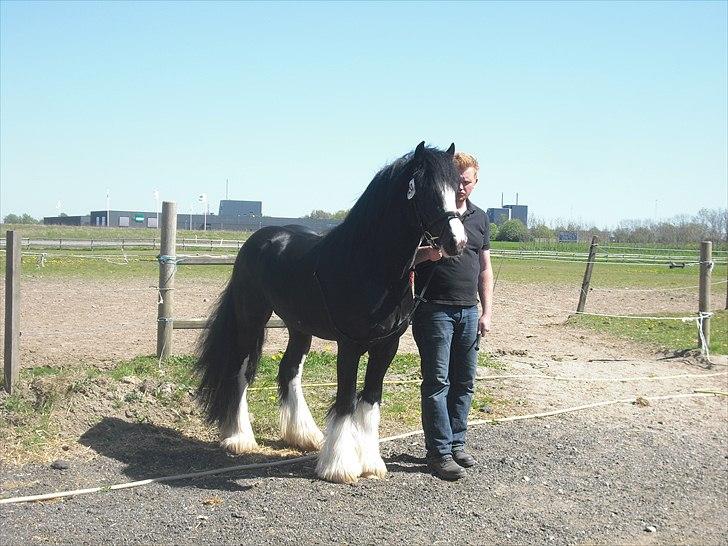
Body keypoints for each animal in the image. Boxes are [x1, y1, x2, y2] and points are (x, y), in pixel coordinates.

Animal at [195, 142, 466, 482]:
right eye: (427, 190)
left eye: (457, 188)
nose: (457, 241)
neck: (368, 263)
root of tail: (258, 239)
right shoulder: (349, 345)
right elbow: (346, 401)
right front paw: (339, 467)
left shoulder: (386, 346)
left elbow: (370, 400)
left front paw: (371, 464)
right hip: (251, 320)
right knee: (240, 372)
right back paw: (239, 438)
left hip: (298, 326)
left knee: (290, 370)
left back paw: (304, 435)